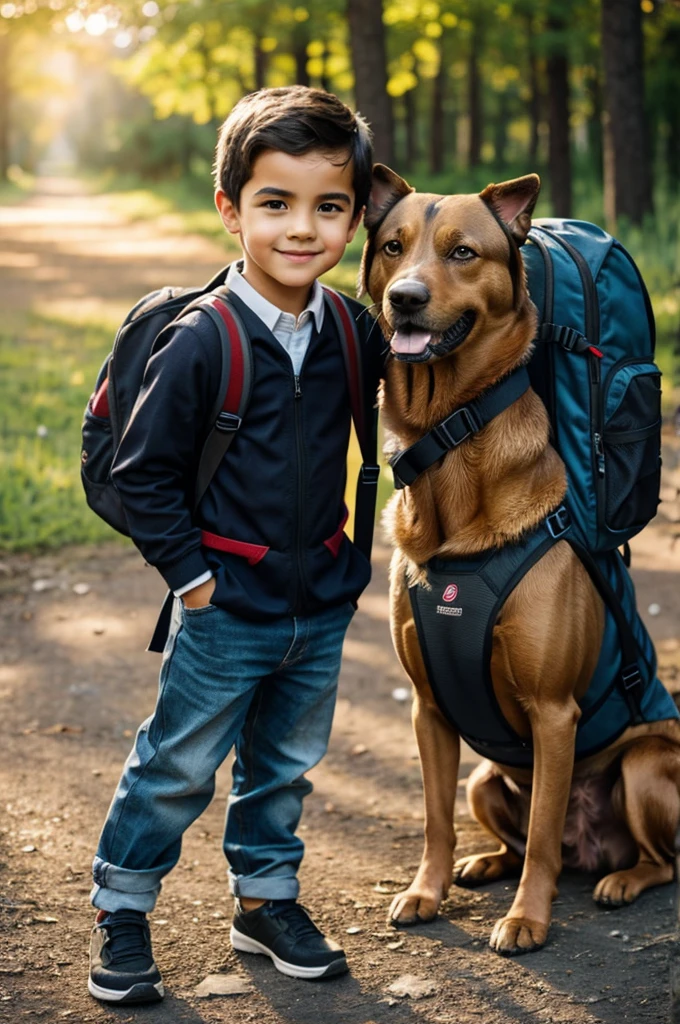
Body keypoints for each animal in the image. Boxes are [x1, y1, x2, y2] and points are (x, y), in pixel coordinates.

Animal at [364, 163, 680, 954]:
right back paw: (485, 863)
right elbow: (435, 819)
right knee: (508, 833)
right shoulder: (428, 711)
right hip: (485, 777)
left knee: (652, 859)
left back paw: (619, 879)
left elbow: (540, 838)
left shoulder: (554, 715)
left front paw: (528, 919)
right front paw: (426, 891)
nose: (404, 297)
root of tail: (591, 847)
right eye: (391, 246)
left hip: (644, 766)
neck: (448, 437)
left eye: (463, 252)